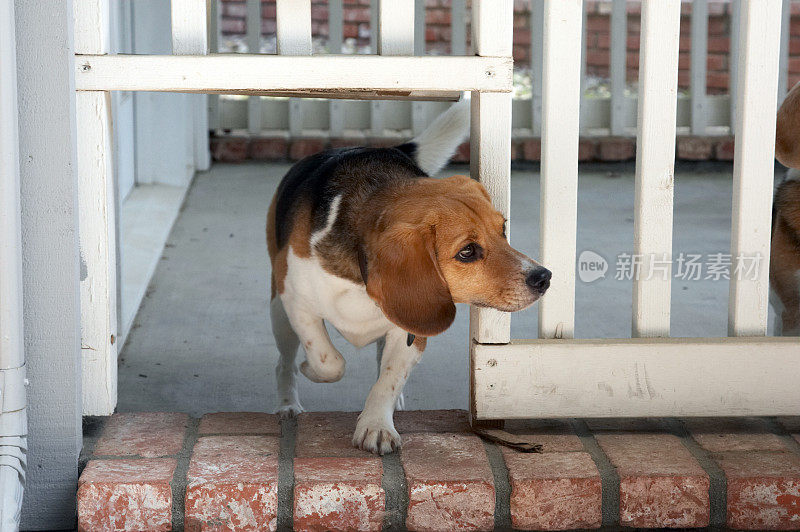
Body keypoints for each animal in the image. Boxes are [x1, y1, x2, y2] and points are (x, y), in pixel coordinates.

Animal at [266, 100, 552, 454]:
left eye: (503, 230)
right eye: (467, 252)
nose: (544, 277)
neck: (359, 282)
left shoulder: (411, 331)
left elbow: (389, 377)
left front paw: (376, 424)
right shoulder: (297, 304)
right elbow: (329, 361)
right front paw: (311, 369)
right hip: (279, 314)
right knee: (284, 363)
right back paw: (287, 405)